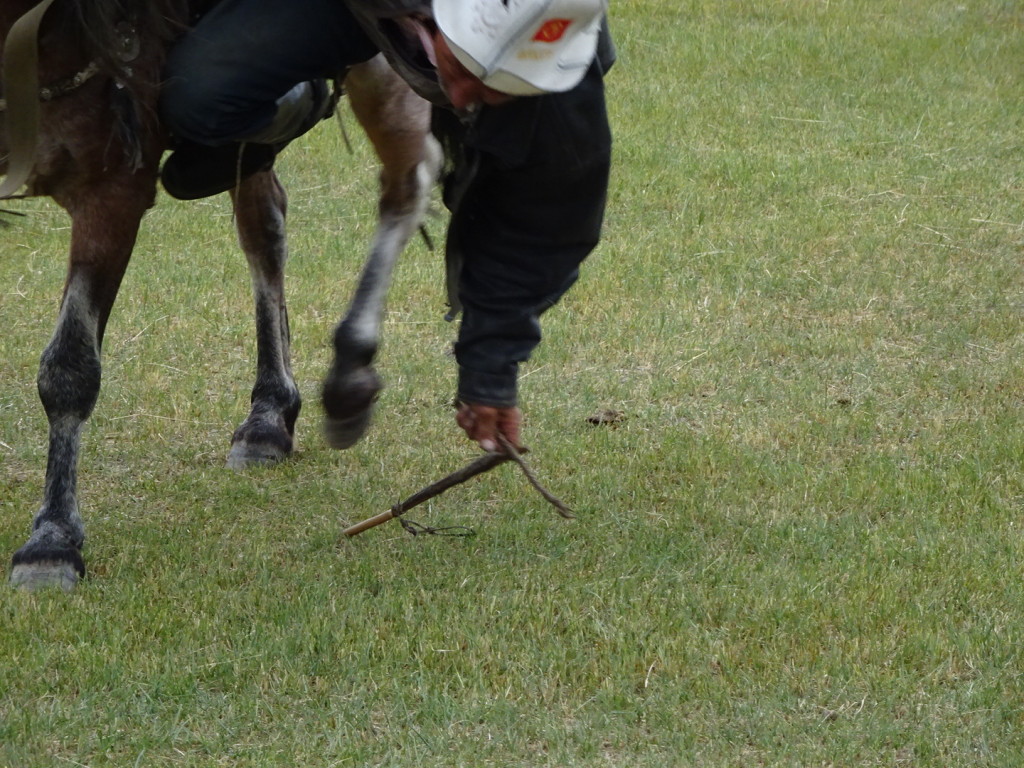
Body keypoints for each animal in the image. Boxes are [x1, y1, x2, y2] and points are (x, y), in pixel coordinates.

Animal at [1, 0, 440, 593]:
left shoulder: (111, 193)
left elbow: (69, 370)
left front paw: (51, 541)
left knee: (405, 184)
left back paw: (350, 371)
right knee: (264, 224)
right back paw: (269, 416)